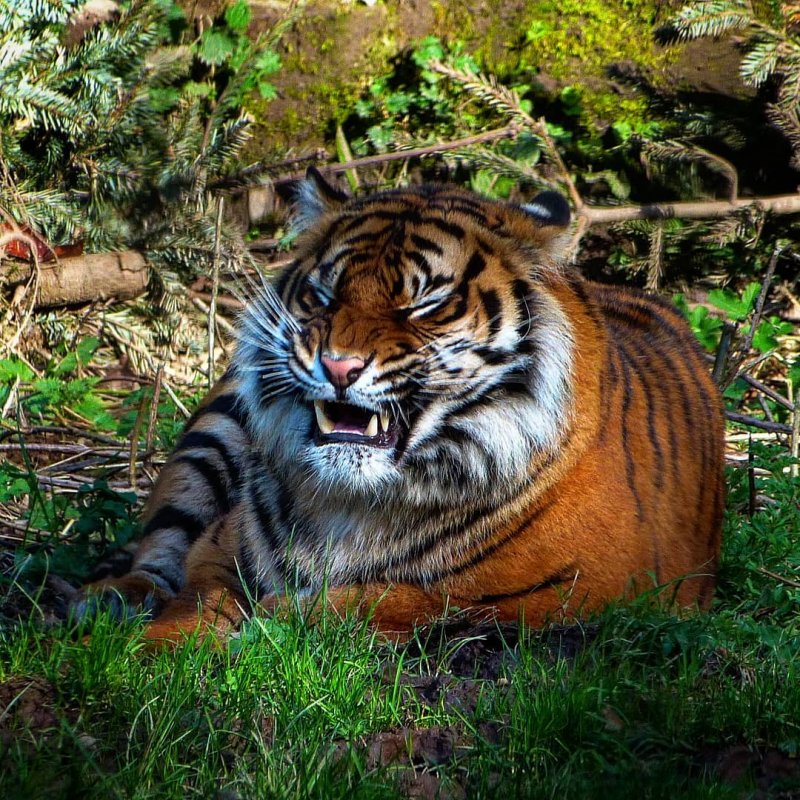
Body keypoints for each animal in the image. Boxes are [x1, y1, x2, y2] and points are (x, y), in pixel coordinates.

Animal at [73, 168, 725, 642]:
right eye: (324, 295)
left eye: (424, 305)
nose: (338, 366)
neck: (354, 502)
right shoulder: (217, 553)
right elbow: (193, 599)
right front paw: (142, 661)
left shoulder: (588, 588)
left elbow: (392, 600)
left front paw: (277, 621)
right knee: (159, 543)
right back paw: (103, 599)